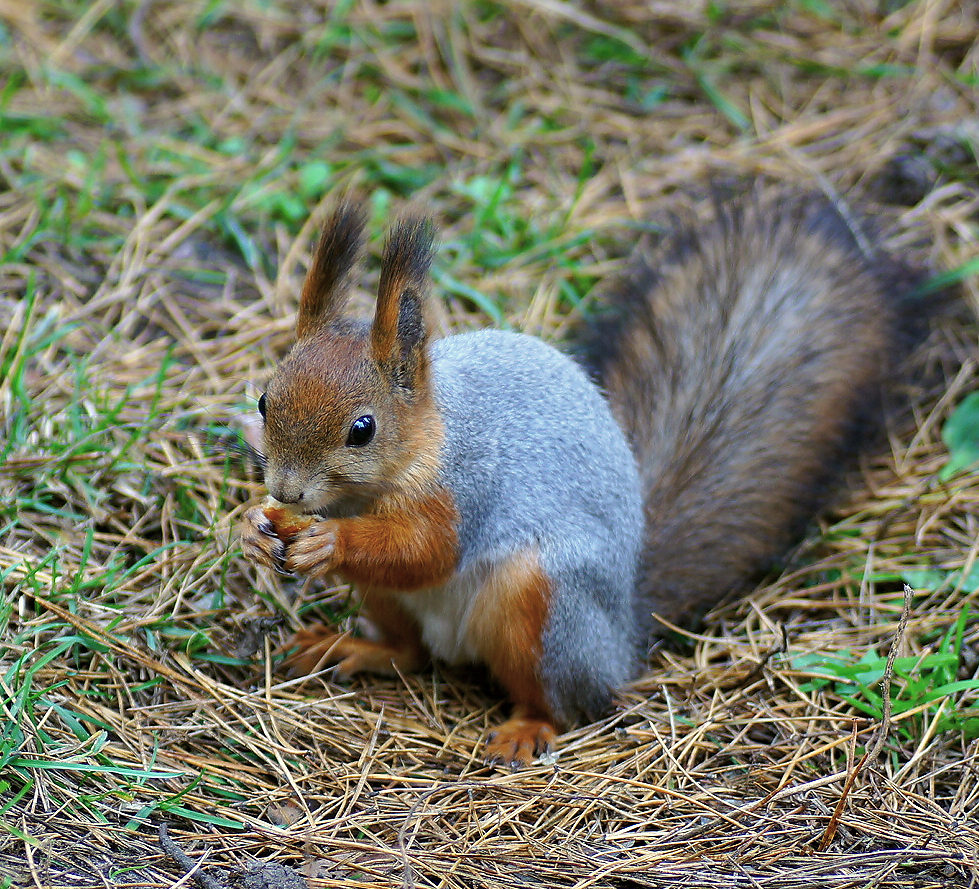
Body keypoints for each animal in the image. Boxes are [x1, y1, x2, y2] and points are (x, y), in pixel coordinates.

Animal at [239, 191, 928, 768]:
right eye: (265, 401)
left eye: (363, 428)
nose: (288, 492)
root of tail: (620, 637)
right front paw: (256, 527)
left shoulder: (468, 486)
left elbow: (427, 551)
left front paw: (333, 542)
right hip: (392, 603)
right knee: (410, 651)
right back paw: (354, 648)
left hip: (542, 605)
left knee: (561, 701)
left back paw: (527, 730)